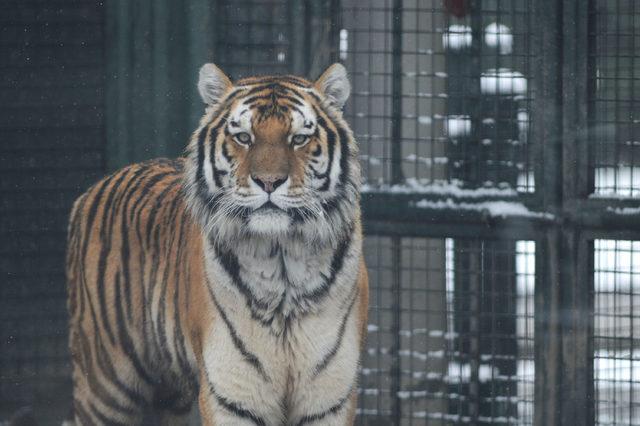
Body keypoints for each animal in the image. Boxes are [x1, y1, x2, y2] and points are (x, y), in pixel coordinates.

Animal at [65, 61, 370, 424]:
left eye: (299, 139)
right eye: (243, 137)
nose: (269, 181)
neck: (282, 263)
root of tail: (92, 189)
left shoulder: (329, 397)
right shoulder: (232, 393)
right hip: (105, 385)